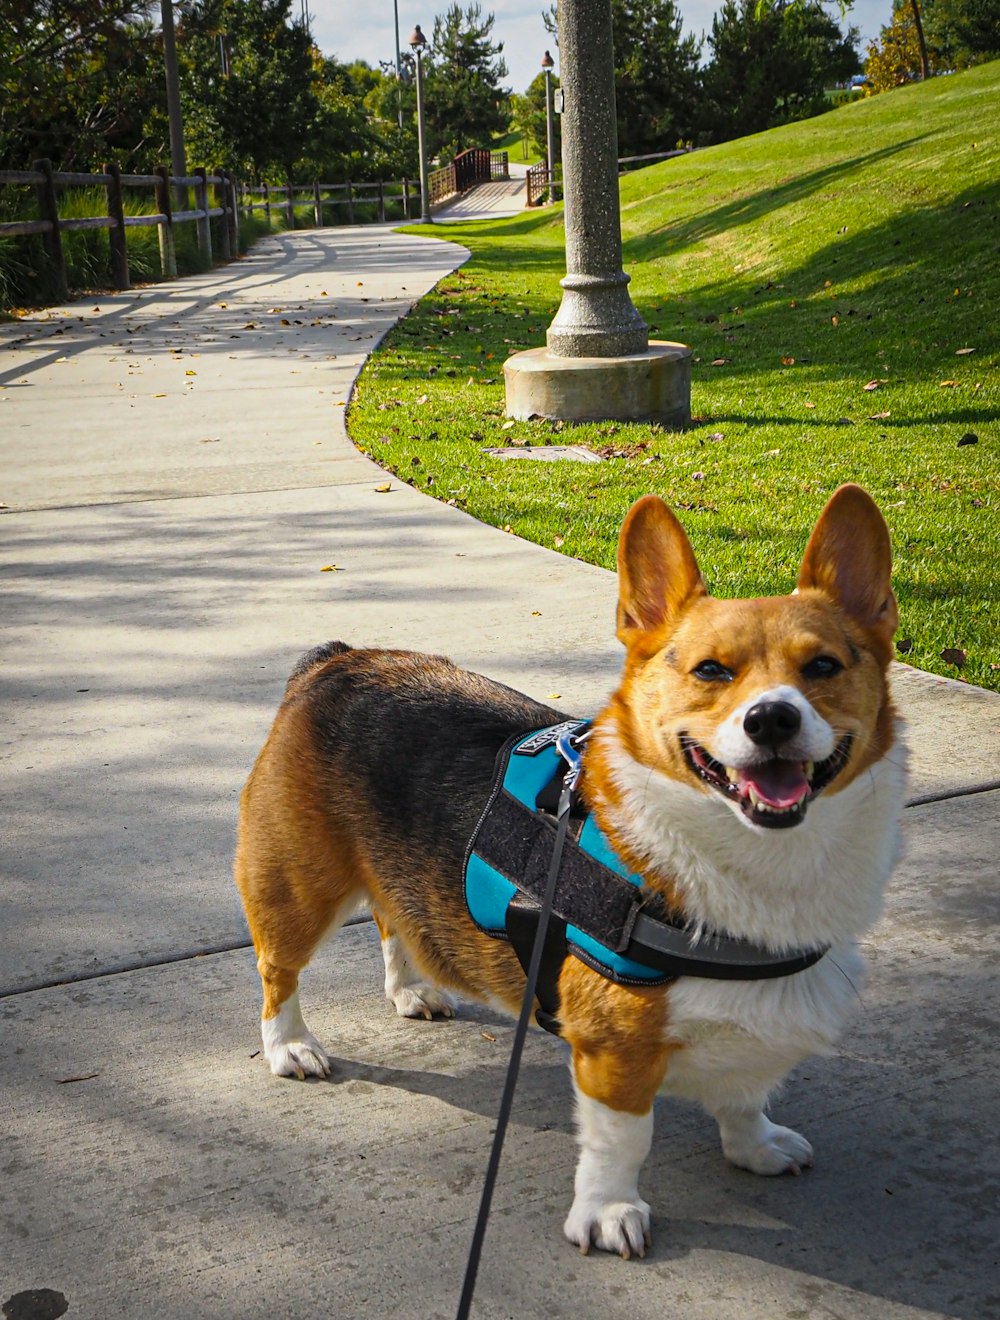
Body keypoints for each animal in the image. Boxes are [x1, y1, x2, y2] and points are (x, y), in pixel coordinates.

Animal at [234, 485, 907, 1256]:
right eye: (711, 670)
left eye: (823, 667)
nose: (771, 720)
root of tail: (336, 660)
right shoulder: (615, 1052)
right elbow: (623, 1141)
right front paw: (609, 1213)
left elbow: (744, 1094)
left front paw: (755, 1144)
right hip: (297, 886)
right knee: (278, 972)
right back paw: (291, 1046)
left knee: (392, 918)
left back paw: (410, 991)